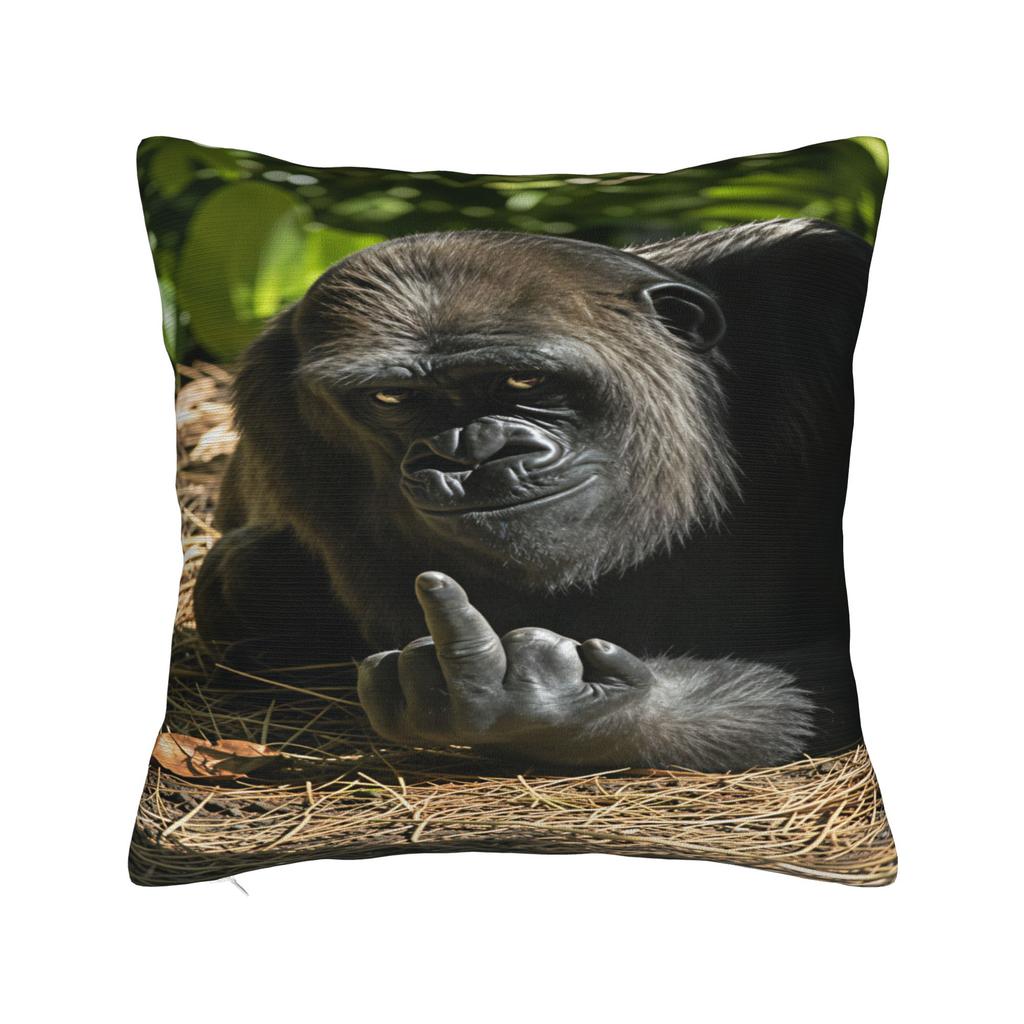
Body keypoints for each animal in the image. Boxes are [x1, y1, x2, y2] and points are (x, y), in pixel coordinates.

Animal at [194, 219, 872, 772]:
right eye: (392, 397)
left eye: (524, 380)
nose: (469, 452)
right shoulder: (277, 413)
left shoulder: (822, 289)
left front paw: (566, 708)